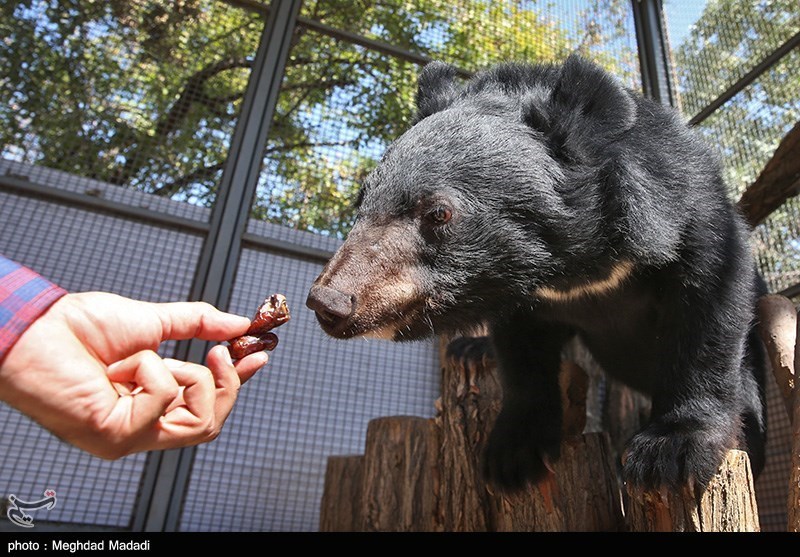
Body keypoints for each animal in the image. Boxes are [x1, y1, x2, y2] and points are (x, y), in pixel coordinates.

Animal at [304, 55, 764, 490]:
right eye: (360, 202)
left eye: (438, 212)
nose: (328, 302)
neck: (570, 270)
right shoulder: (522, 300)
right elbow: (521, 354)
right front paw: (513, 456)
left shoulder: (690, 213)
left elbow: (708, 309)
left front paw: (671, 452)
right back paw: (471, 348)